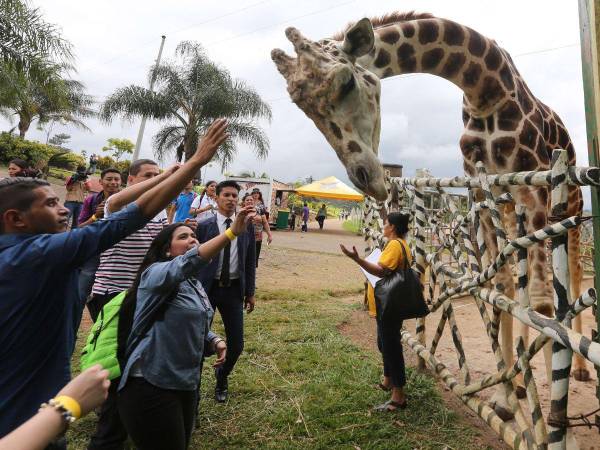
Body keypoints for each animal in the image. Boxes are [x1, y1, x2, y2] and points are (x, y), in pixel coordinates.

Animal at [274, 12, 592, 422]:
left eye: (346, 82)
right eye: (302, 105)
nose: (366, 177)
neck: (484, 89)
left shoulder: (535, 192)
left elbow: (542, 302)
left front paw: (554, 416)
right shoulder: (484, 192)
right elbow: (501, 288)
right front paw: (504, 401)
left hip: (568, 203)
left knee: (571, 274)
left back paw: (578, 370)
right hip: (512, 211)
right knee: (518, 281)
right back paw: (522, 385)